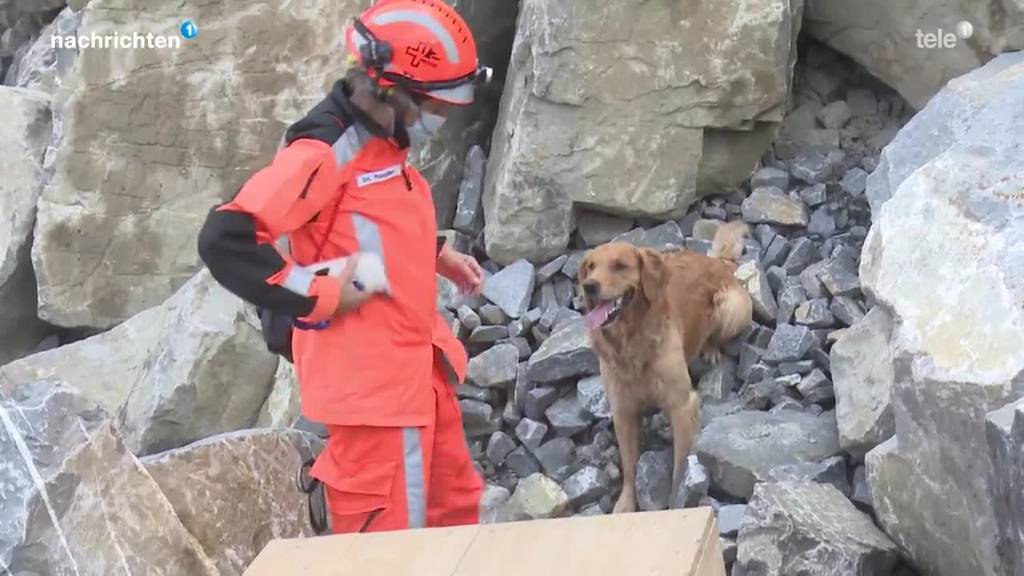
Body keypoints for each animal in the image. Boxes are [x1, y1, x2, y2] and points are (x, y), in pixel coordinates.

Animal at [581, 220, 757, 510]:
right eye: (591, 267)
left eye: (620, 265)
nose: (589, 286)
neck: (631, 340)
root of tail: (717, 261)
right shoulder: (623, 410)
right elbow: (629, 465)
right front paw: (626, 503)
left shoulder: (682, 405)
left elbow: (680, 468)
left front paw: (677, 502)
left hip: (733, 309)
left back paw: (709, 348)